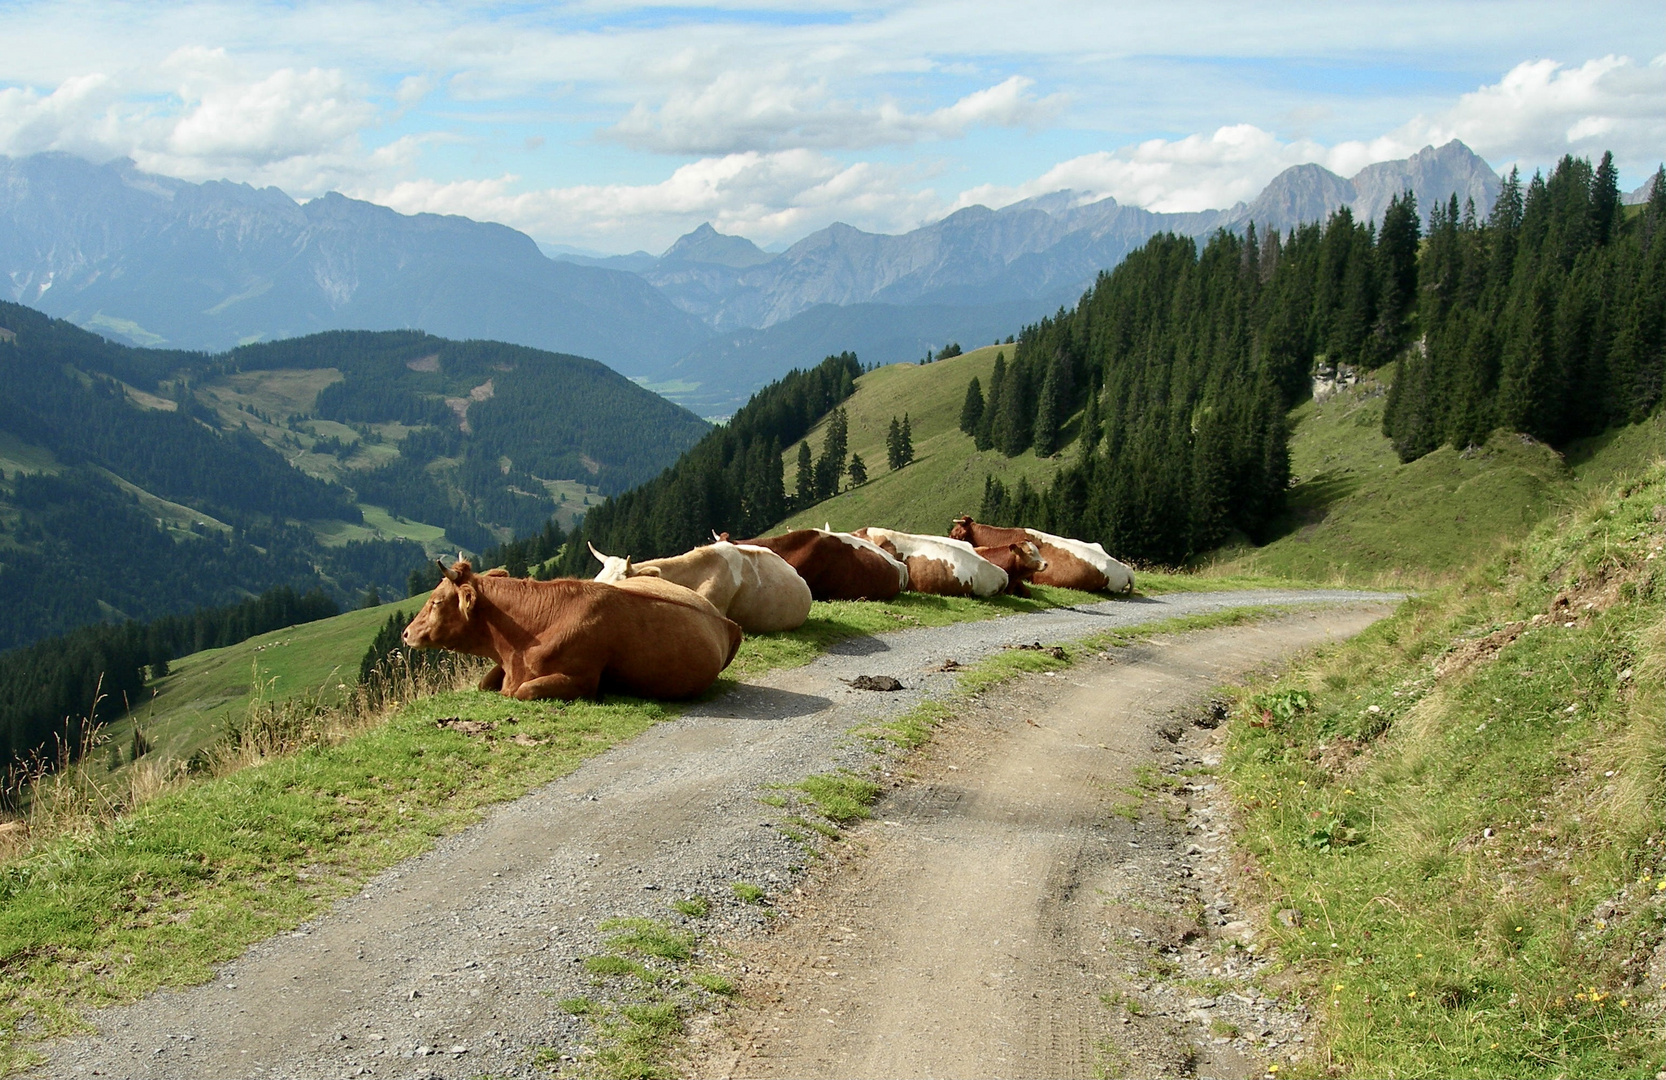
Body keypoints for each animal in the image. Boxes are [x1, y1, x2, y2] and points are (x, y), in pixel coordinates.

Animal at [399, 556, 739, 700]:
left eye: (436, 601)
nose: (405, 633)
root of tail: (725, 620)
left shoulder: (581, 679)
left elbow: (523, 691)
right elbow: (486, 683)